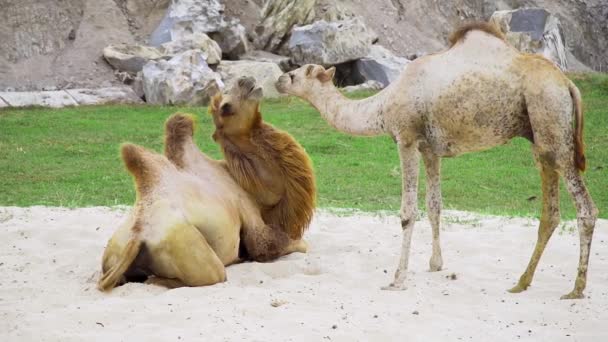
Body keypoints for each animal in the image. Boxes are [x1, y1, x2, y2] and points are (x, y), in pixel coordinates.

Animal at [276, 22, 600, 300]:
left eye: (296, 75)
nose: (278, 80)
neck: (383, 104)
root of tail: (568, 84)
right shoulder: (429, 149)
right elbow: (434, 205)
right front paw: (435, 264)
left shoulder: (406, 138)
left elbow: (408, 212)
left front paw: (398, 278)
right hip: (540, 137)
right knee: (551, 213)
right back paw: (521, 282)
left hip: (552, 122)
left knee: (586, 208)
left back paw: (576, 288)